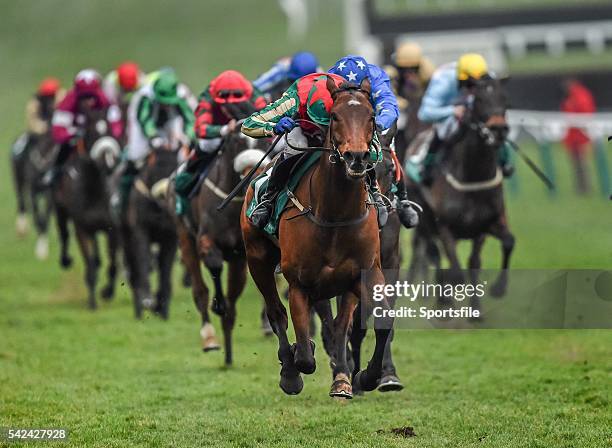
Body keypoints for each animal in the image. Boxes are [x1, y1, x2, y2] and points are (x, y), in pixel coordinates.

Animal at [52, 107, 121, 310]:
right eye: (92, 132)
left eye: (110, 130)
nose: (108, 161)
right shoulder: (82, 228)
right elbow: (89, 264)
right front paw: (92, 302)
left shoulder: (112, 227)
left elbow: (113, 263)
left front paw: (107, 291)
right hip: (60, 209)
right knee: (64, 233)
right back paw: (66, 259)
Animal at [124, 146, 179, 318]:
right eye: (155, 166)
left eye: (175, 167)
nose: (164, 196)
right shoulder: (140, 231)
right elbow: (144, 260)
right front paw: (147, 299)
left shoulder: (171, 237)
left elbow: (165, 268)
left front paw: (162, 304)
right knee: (134, 268)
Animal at [243, 78, 392, 400]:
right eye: (335, 116)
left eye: (372, 116)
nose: (357, 157)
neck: (334, 215)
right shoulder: (299, 283)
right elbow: (304, 356)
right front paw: (295, 366)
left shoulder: (365, 273)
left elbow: (376, 323)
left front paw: (365, 377)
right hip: (257, 259)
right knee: (277, 313)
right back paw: (289, 370)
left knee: (337, 325)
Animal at [406, 77, 516, 300]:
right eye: (479, 100)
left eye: (506, 100)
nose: (498, 130)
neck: (473, 176)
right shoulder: (445, 226)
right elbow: (455, 274)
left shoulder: (485, 224)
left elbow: (505, 243)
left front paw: (498, 288)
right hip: (424, 218)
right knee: (432, 251)